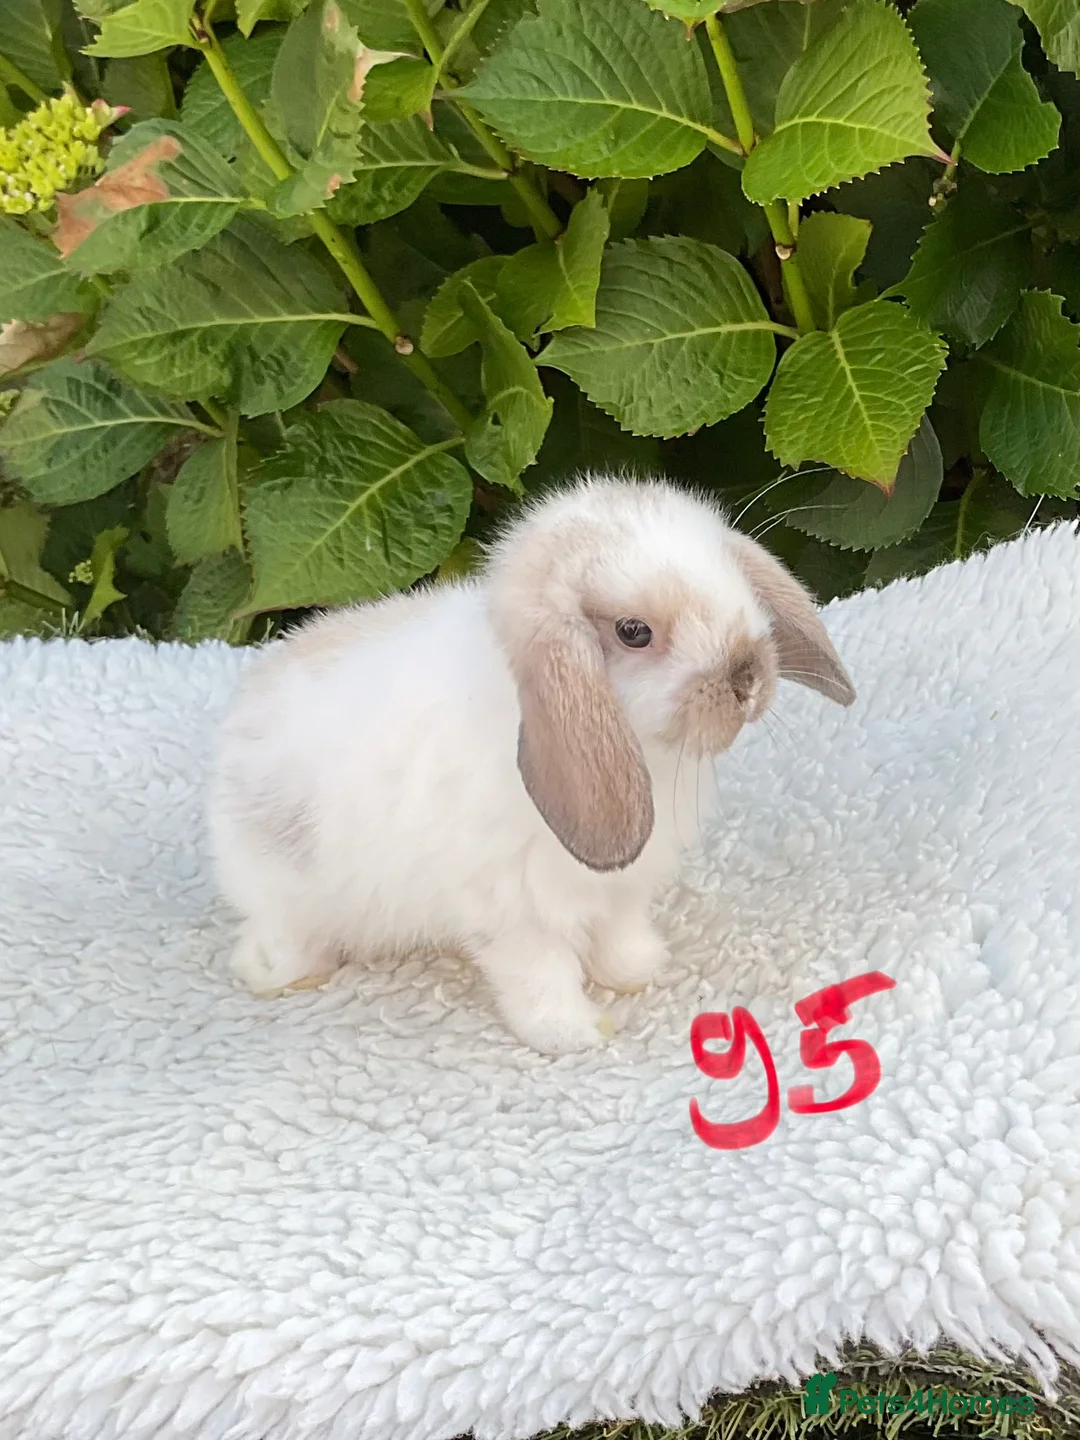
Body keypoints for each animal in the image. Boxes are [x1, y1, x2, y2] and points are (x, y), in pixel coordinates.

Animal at [208, 476, 855, 1055]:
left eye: (735, 582)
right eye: (634, 631)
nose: (748, 679)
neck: (640, 746)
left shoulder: (621, 889)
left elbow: (618, 934)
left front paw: (639, 971)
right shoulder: (516, 913)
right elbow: (540, 976)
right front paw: (573, 1035)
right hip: (288, 897)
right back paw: (282, 972)